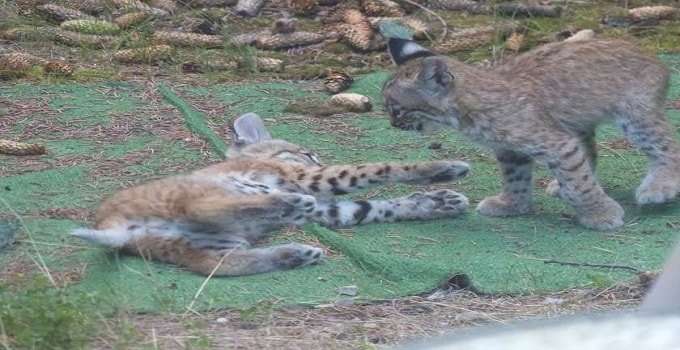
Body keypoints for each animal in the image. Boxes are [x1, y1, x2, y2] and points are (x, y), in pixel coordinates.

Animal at [71, 113, 470, 274]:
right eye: (308, 154)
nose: (317, 156)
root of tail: (107, 222)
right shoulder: (307, 178)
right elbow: (374, 169)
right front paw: (440, 169)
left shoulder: (323, 207)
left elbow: (369, 207)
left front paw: (436, 202)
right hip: (197, 195)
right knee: (204, 205)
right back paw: (283, 206)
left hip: (204, 244)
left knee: (217, 266)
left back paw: (291, 253)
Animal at [382, 37, 680, 230]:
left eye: (397, 109)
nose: (393, 125)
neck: (464, 110)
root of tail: (646, 51)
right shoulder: (510, 150)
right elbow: (516, 179)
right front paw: (512, 205)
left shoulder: (557, 143)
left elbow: (580, 183)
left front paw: (600, 214)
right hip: (576, 122)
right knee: (590, 151)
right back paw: (561, 186)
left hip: (636, 116)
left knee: (668, 147)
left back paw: (659, 187)